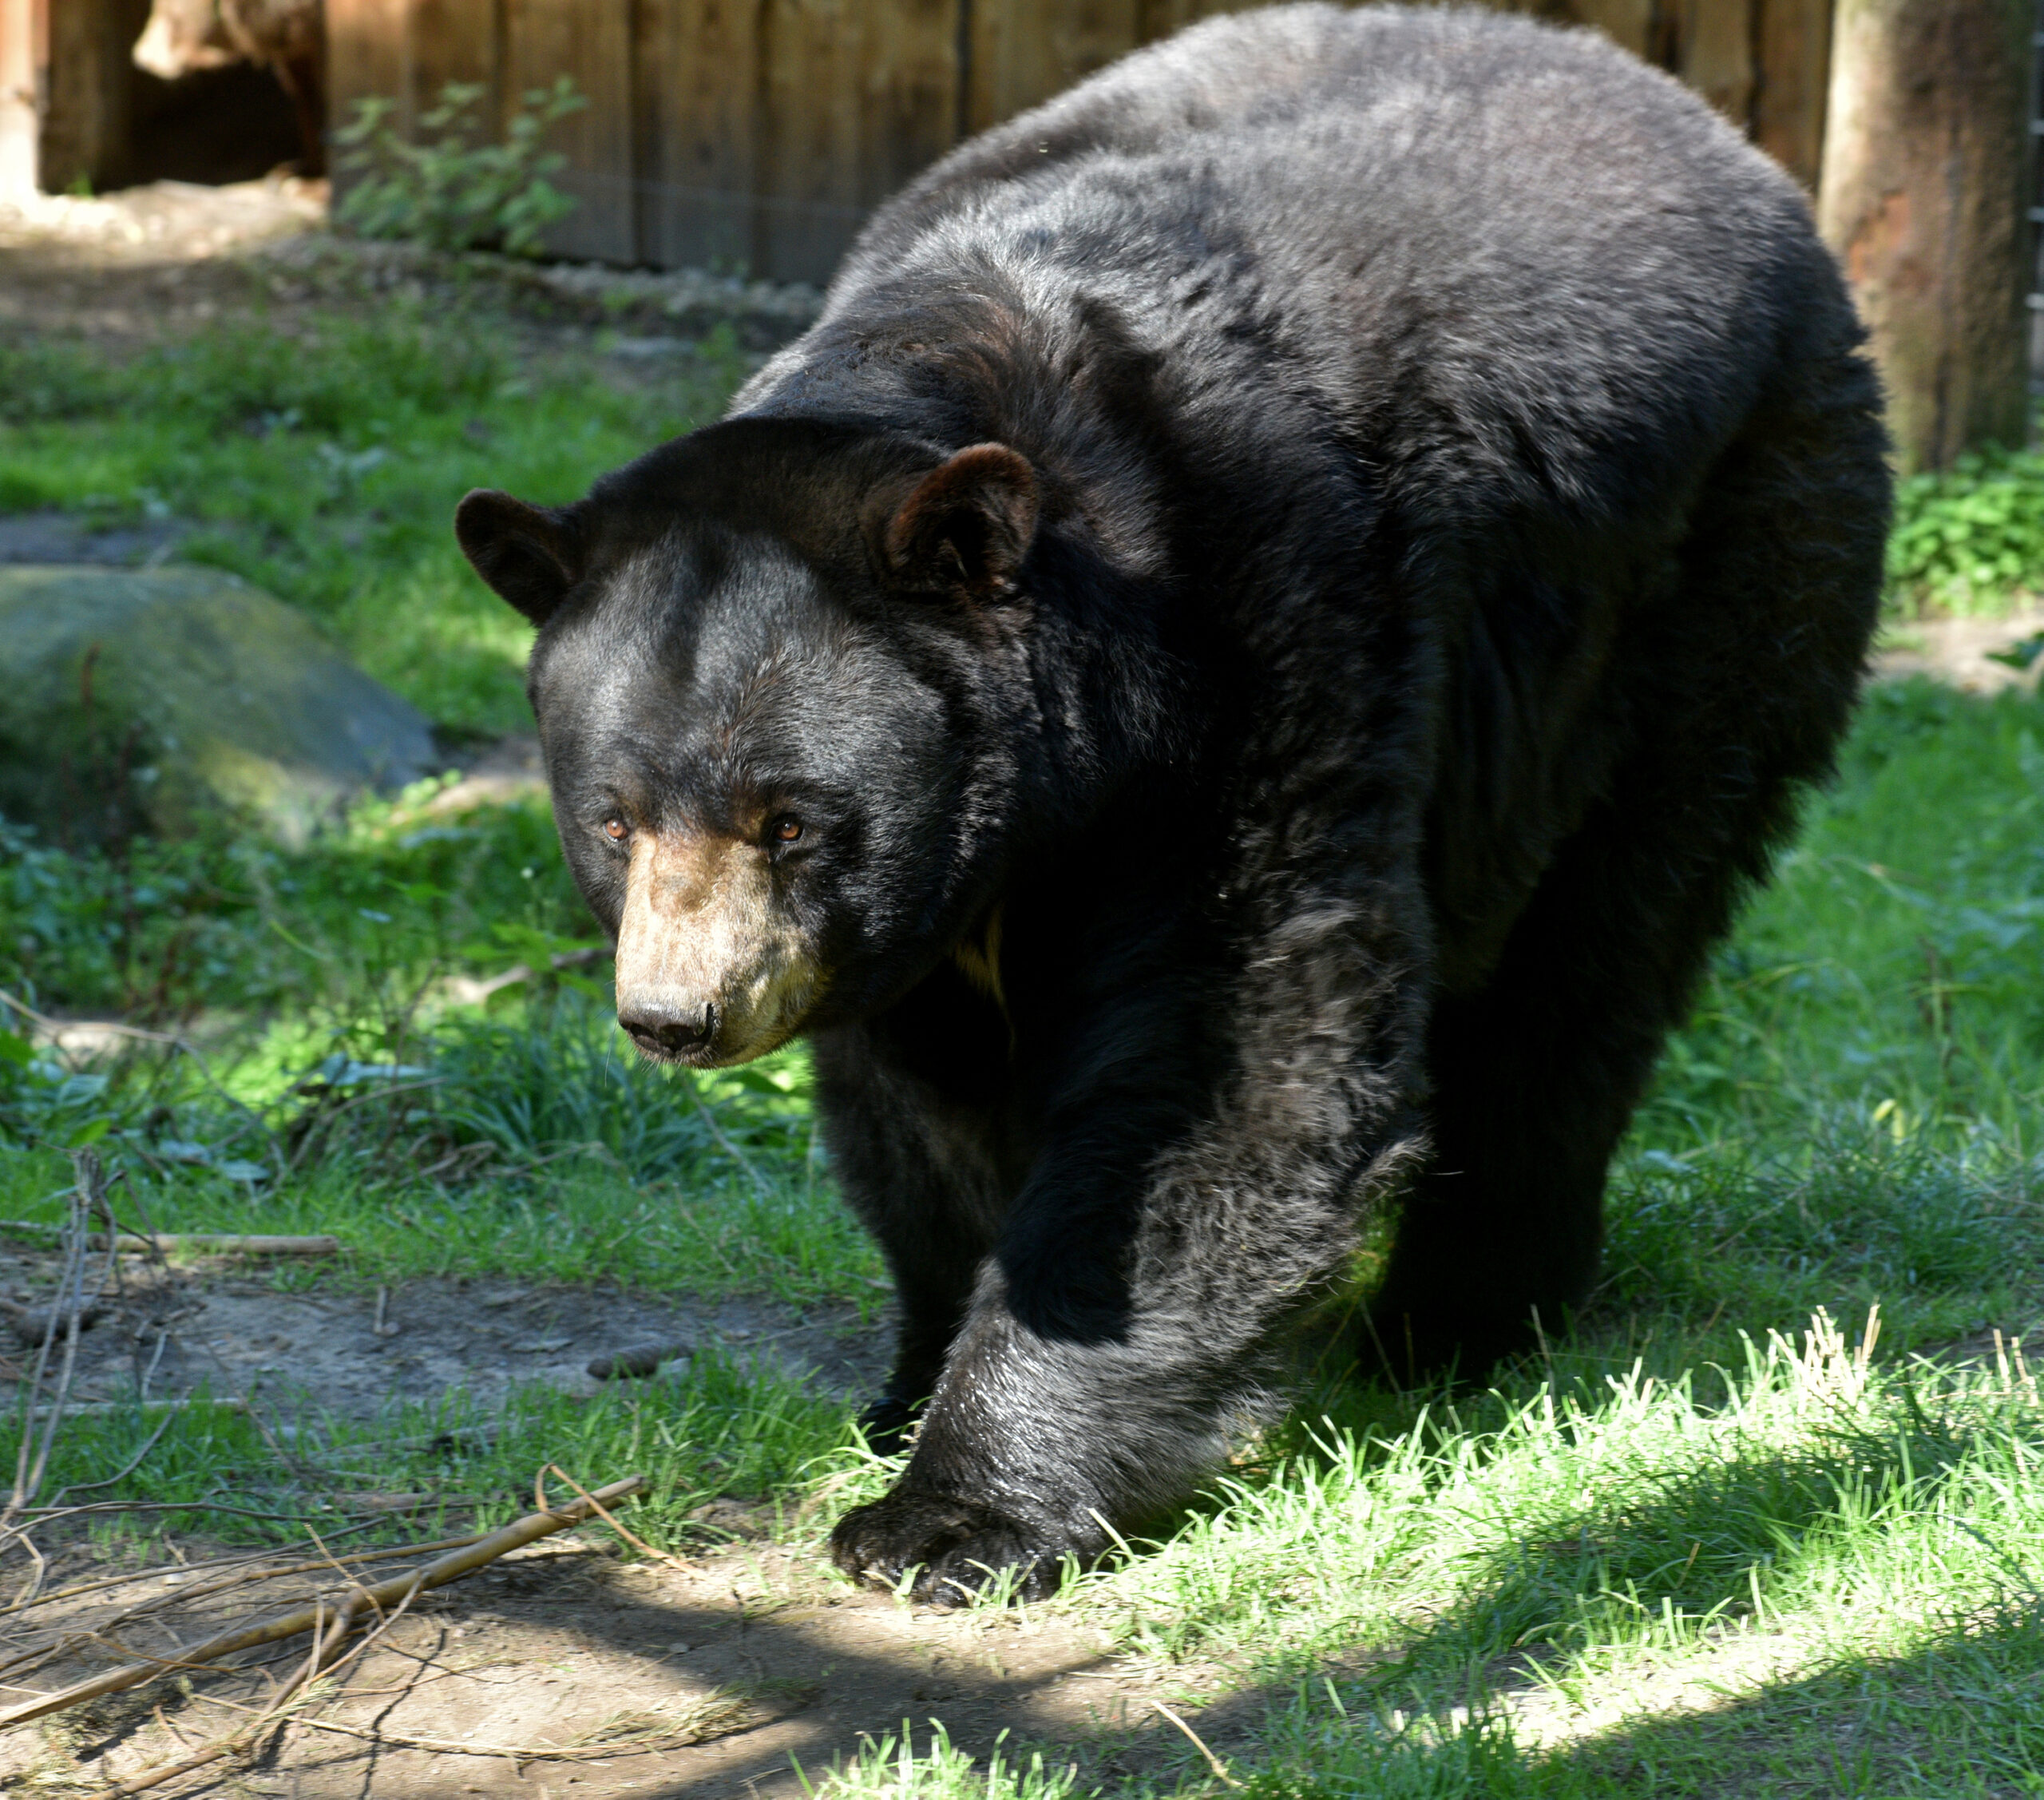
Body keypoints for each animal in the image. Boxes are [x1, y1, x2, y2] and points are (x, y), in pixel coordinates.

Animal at [455, 0, 1888, 1604]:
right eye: (616, 816)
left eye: (792, 816)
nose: (676, 1016)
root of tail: (1705, 129)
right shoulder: (921, 916)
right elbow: (923, 1103)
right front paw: (906, 1385)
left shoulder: (1266, 643)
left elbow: (1235, 1053)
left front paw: (951, 1509)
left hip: (1728, 564)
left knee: (1595, 950)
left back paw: (1462, 1319)